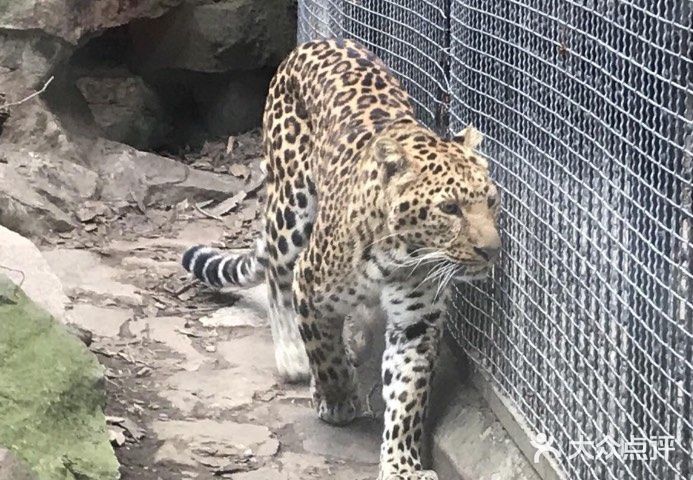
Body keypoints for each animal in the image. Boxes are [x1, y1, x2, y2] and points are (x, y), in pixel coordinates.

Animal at [181, 38, 500, 480]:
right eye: (449, 208)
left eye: (491, 201)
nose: (492, 249)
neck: (400, 255)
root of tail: (314, 44)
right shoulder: (311, 284)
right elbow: (323, 350)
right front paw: (335, 397)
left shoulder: (416, 321)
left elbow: (408, 395)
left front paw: (401, 464)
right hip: (291, 207)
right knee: (277, 276)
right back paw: (292, 355)